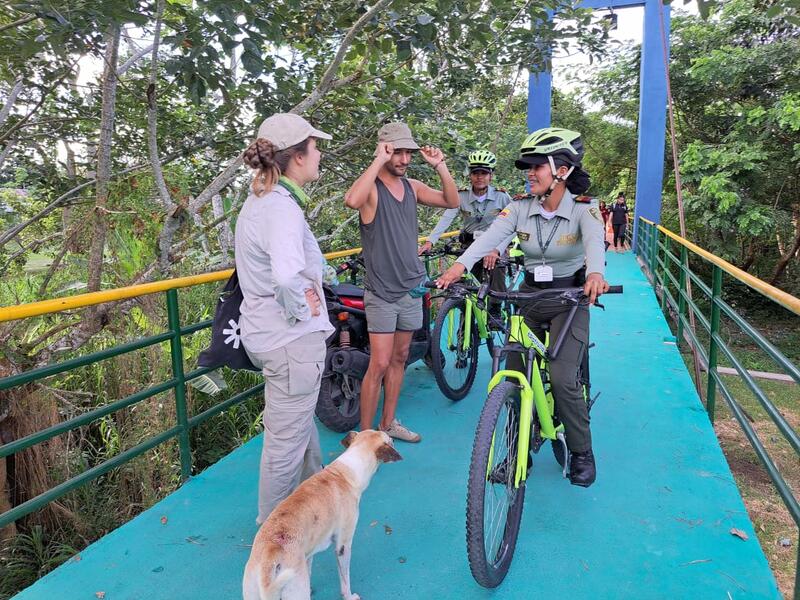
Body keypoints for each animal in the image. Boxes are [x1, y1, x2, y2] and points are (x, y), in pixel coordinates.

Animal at [239, 432, 398, 600]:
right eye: (389, 440)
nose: (394, 439)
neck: (345, 472)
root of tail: (270, 557)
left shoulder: (309, 553)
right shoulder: (343, 546)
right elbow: (345, 580)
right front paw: (349, 596)